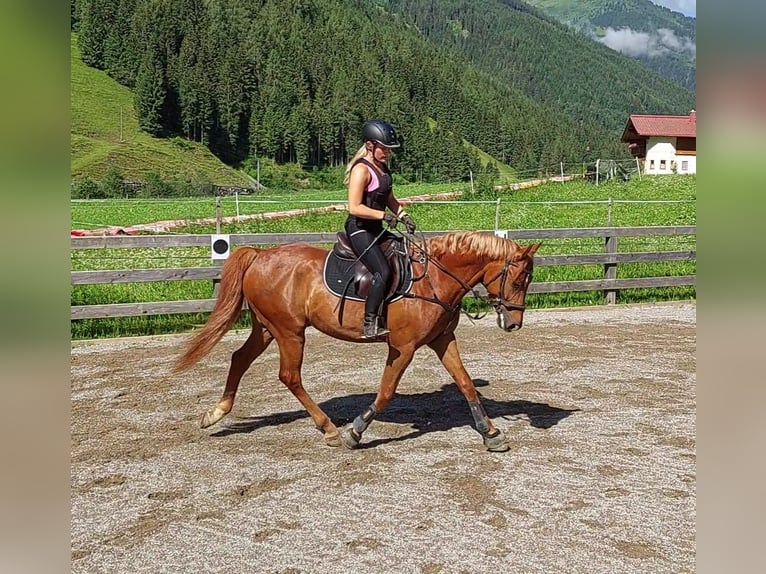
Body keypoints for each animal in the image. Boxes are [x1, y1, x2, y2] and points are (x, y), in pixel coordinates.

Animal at [175, 231, 540, 451]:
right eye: (519, 279)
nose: (514, 324)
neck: (434, 278)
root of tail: (260, 255)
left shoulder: (442, 339)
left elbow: (465, 383)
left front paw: (491, 433)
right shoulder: (402, 347)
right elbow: (386, 391)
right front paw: (355, 432)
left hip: (266, 328)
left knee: (239, 359)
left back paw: (216, 413)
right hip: (289, 332)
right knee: (289, 376)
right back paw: (329, 429)